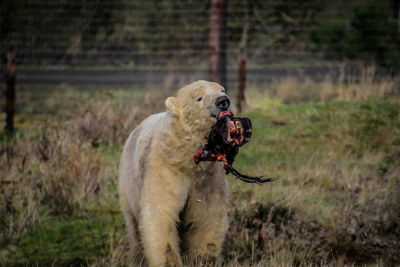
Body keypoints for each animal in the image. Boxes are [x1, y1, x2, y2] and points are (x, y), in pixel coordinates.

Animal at [118, 80, 231, 266]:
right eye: (199, 98)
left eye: (222, 90)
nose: (223, 101)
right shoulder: (164, 169)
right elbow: (159, 215)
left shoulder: (207, 179)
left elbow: (207, 217)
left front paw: (202, 260)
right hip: (128, 184)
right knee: (134, 229)